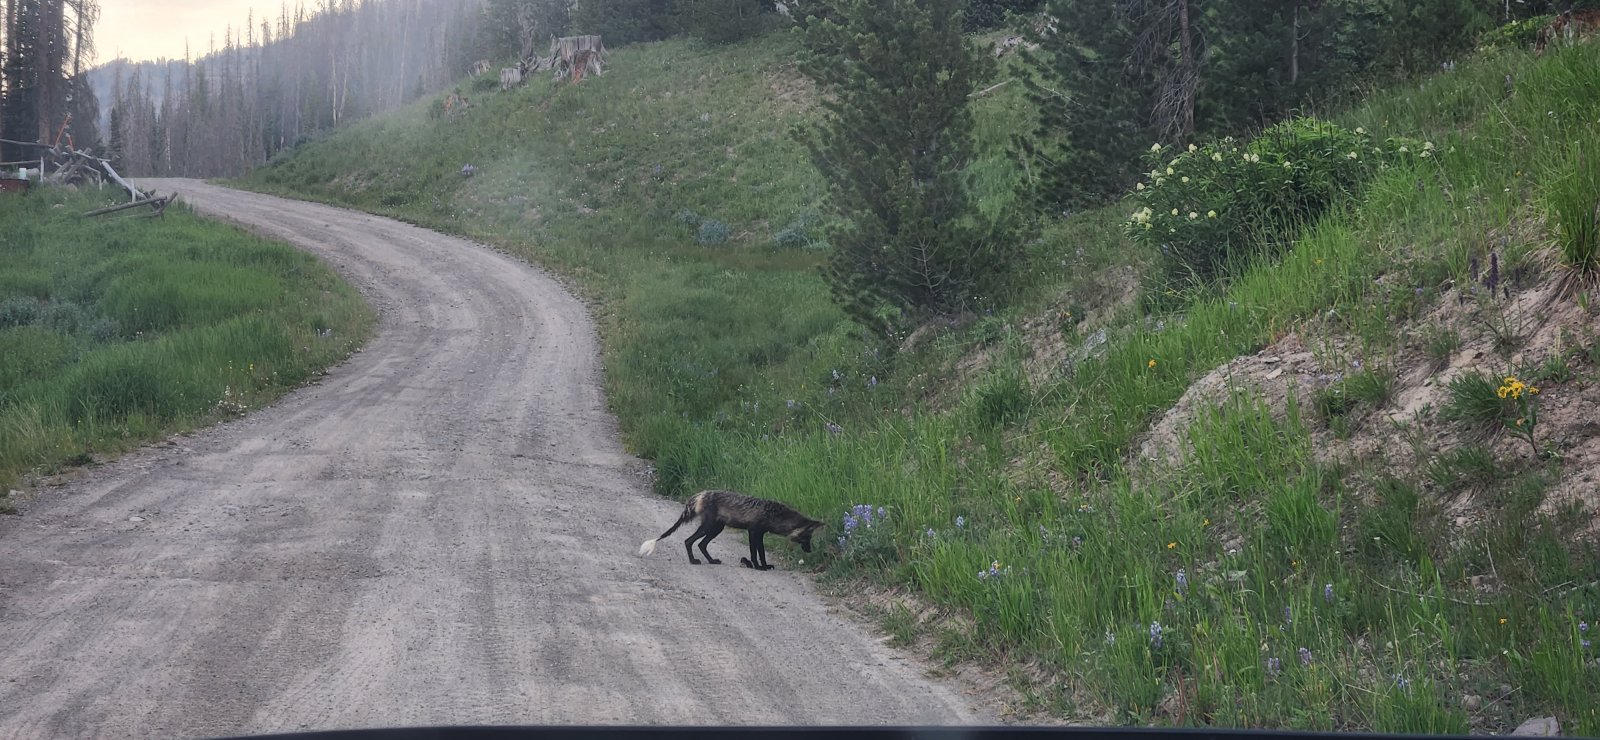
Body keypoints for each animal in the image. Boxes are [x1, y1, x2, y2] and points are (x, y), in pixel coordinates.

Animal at [637, 489, 824, 570]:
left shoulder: (760, 534)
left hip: (716, 529)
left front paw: (764, 565)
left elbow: (762, 553)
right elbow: (755, 553)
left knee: (701, 545)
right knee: (688, 541)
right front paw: (758, 567)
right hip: (708, 527)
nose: (809, 551)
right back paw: (693, 561)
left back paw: (712, 561)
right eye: (807, 538)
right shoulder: (753, 532)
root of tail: (700, 494)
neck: (774, 516)